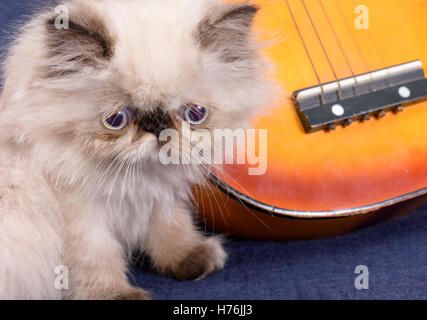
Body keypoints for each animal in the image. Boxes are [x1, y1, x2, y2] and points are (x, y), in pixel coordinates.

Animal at [0, 0, 274, 300]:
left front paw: (190, 259)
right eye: (117, 119)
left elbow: (171, 230)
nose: (158, 128)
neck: (140, 178)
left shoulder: (160, 199)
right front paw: (114, 295)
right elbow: (96, 259)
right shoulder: (80, 216)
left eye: (195, 114)